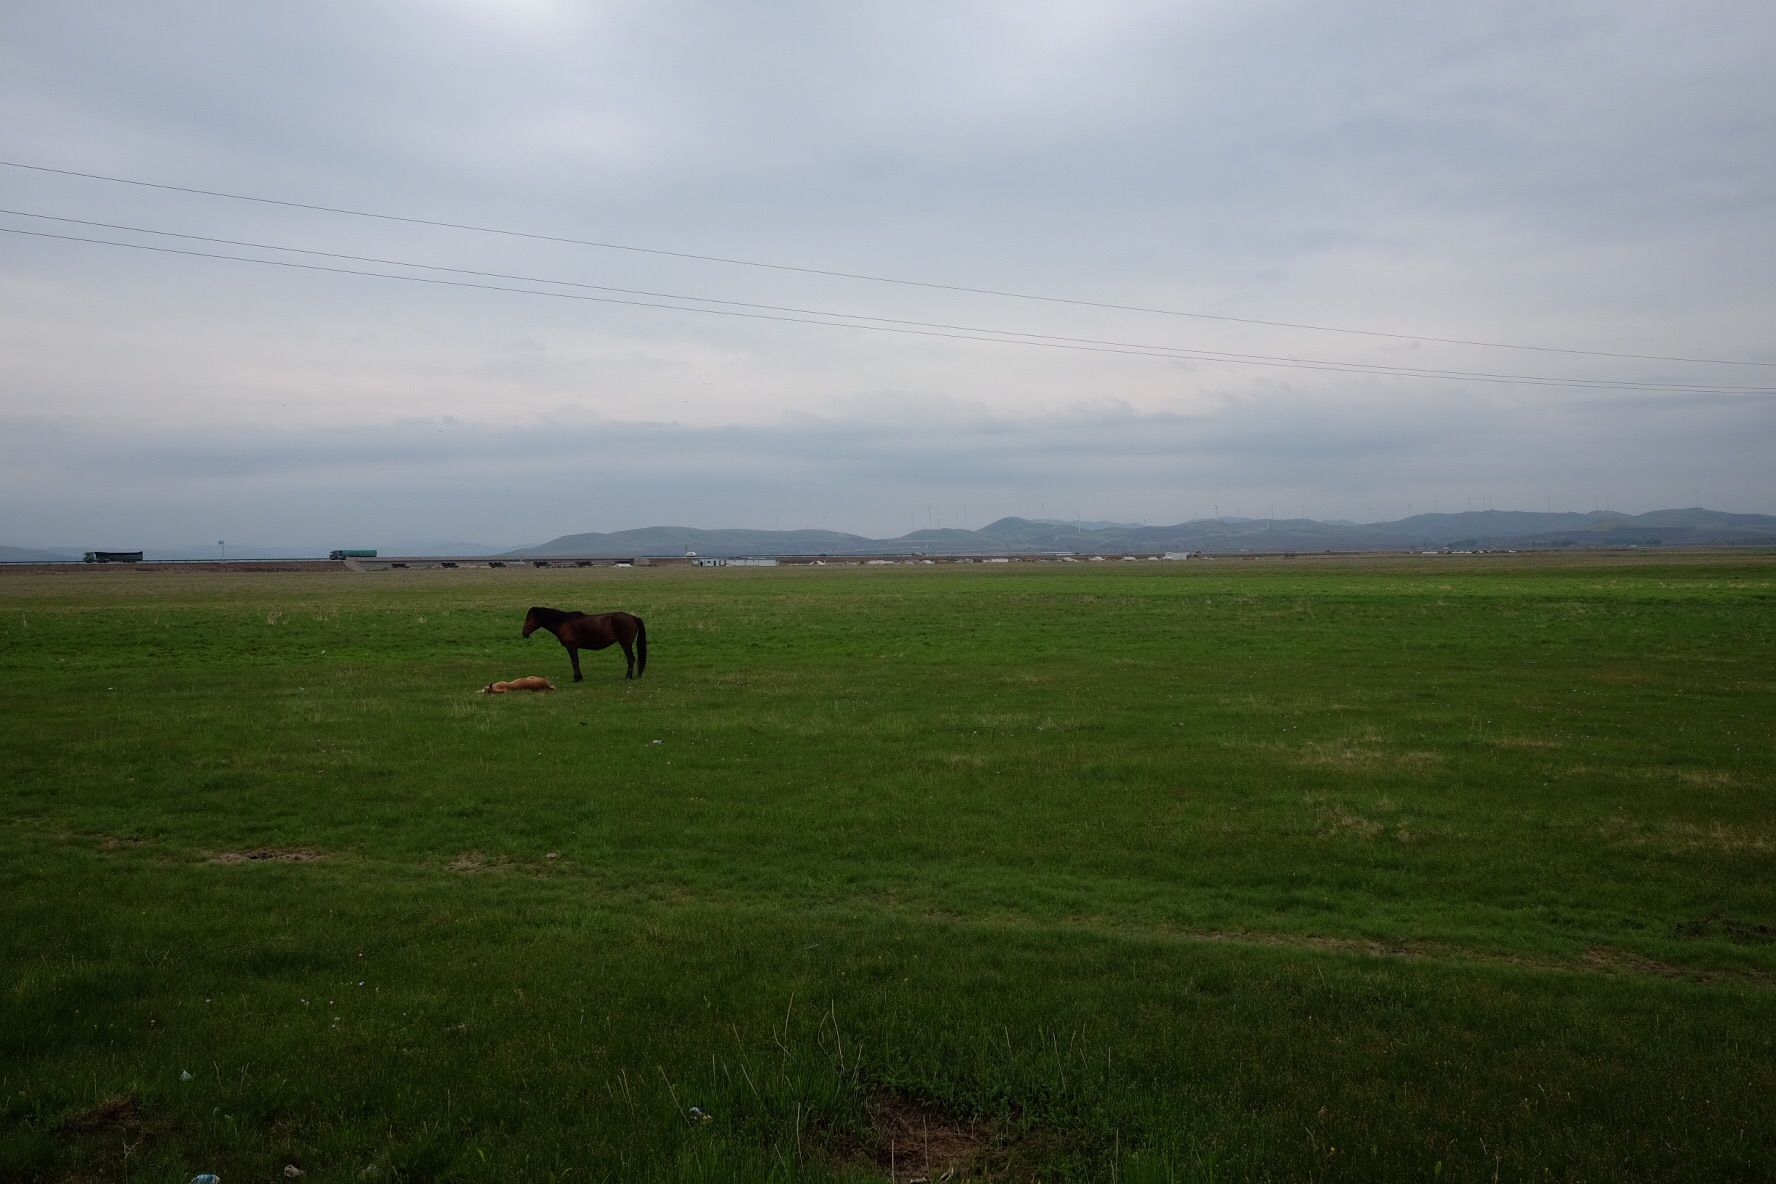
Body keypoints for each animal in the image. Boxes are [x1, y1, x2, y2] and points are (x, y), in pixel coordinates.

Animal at [518, 607, 646, 681]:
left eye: (528, 619)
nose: (524, 633)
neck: (563, 622)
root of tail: (633, 617)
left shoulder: (570, 647)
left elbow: (574, 662)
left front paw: (576, 678)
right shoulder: (575, 648)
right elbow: (577, 662)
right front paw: (580, 677)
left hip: (625, 644)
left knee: (631, 659)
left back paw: (628, 677)